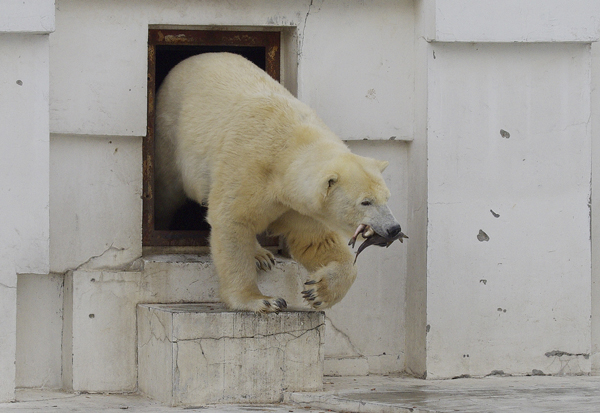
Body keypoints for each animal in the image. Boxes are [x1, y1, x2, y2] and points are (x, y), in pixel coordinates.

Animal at [155, 53, 400, 314]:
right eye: (365, 202)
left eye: (387, 197)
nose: (394, 228)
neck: (287, 147)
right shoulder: (247, 167)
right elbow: (232, 220)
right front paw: (261, 300)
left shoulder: (299, 205)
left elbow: (315, 240)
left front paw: (318, 291)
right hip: (170, 138)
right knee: (166, 193)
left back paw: (261, 255)